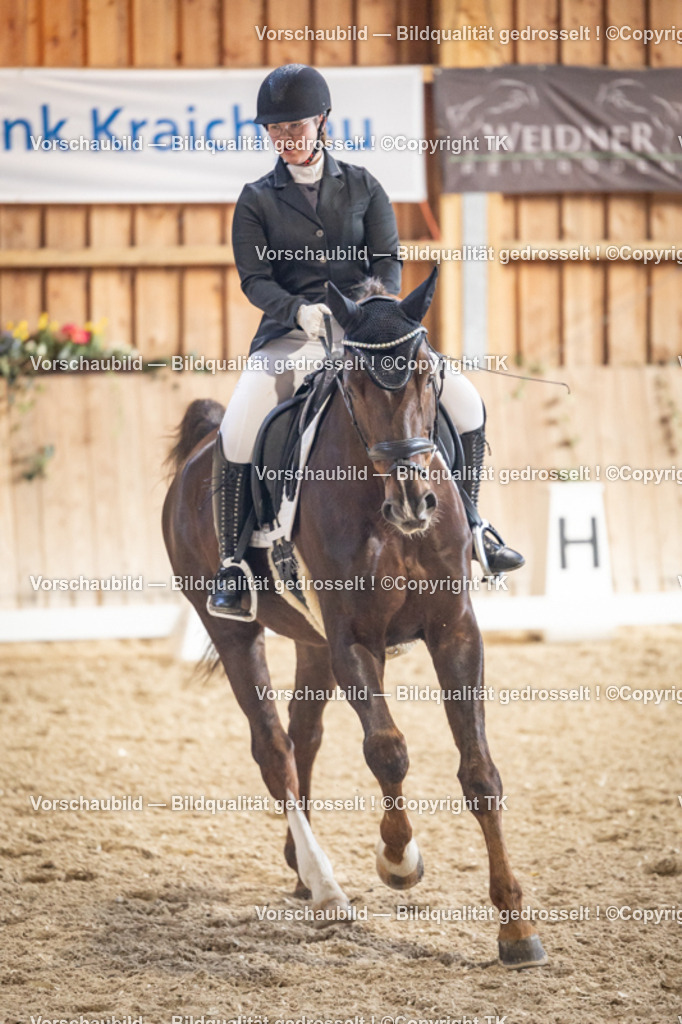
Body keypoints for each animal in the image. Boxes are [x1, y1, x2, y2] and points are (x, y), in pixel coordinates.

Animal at [162, 269, 547, 969]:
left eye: (425, 373)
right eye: (359, 383)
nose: (416, 500)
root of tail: (201, 449)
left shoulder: (454, 632)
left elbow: (479, 771)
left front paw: (515, 927)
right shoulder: (353, 641)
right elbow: (387, 750)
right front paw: (398, 860)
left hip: (310, 642)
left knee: (303, 733)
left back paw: (300, 867)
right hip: (232, 630)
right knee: (273, 749)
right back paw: (325, 886)